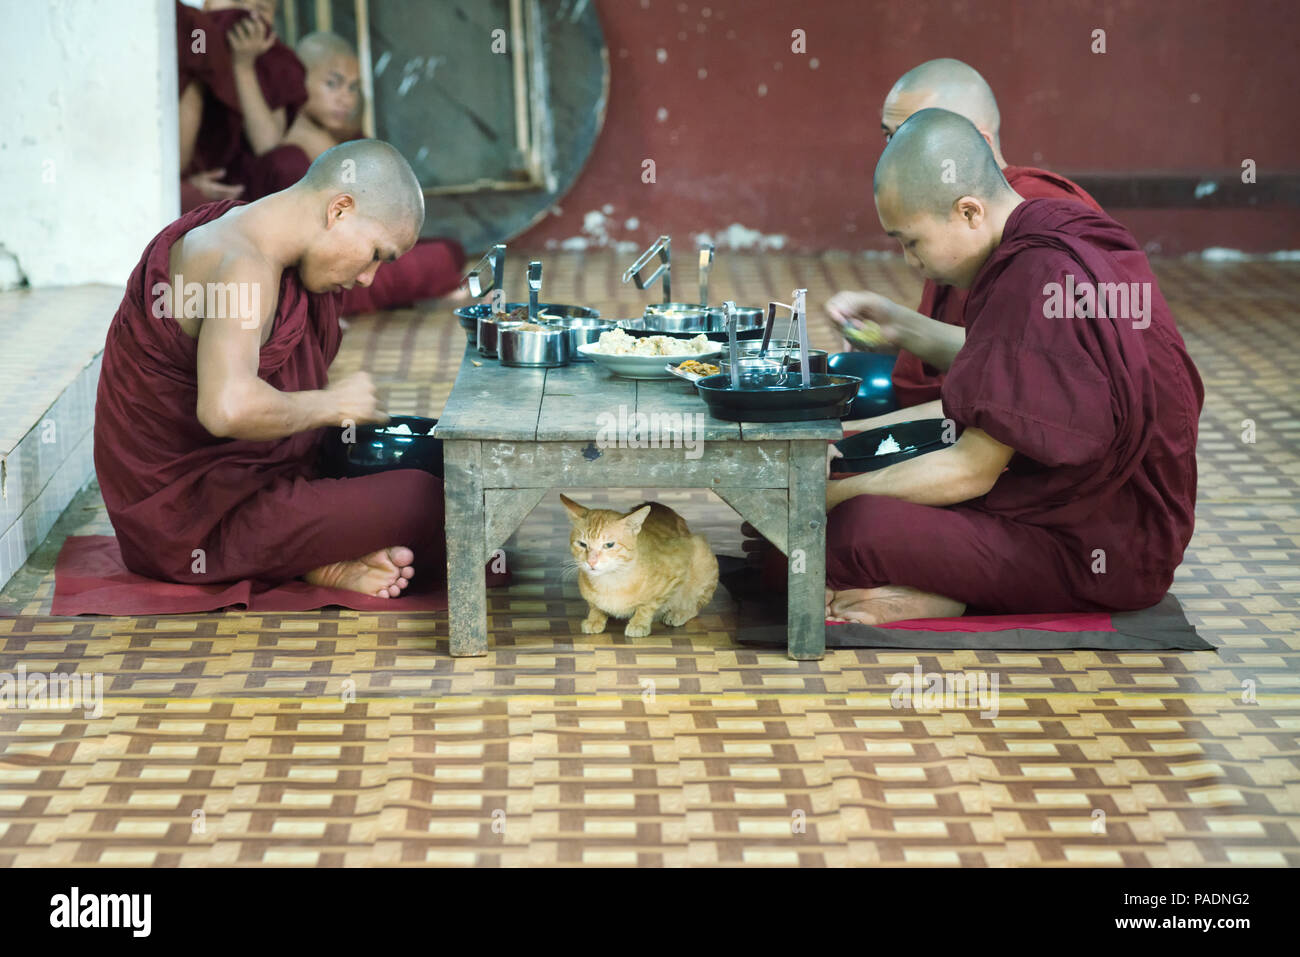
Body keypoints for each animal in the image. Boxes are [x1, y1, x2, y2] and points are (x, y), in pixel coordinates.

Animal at [559, 494, 722, 634]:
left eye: (609, 545)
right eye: (582, 544)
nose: (591, 561)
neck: (611, 581)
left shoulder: (676, 570)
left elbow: (649, 604)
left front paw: (639, 623)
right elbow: (594, 605)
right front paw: (595, 618)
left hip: (702, 554)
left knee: (696, 605)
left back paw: (679, 613)